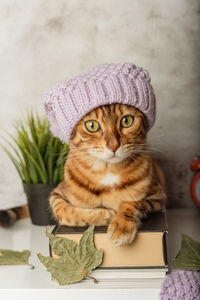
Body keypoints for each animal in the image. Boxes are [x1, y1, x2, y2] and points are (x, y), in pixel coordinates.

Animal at [48, 103, 166, 246]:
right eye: (92, 125)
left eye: (127, 121)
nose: (113, 146)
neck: (108, 170)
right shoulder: (57, 193)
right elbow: (63, 211)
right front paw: (105, 215)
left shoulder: (158, 196)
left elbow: (133, 203)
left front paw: (121, 226)